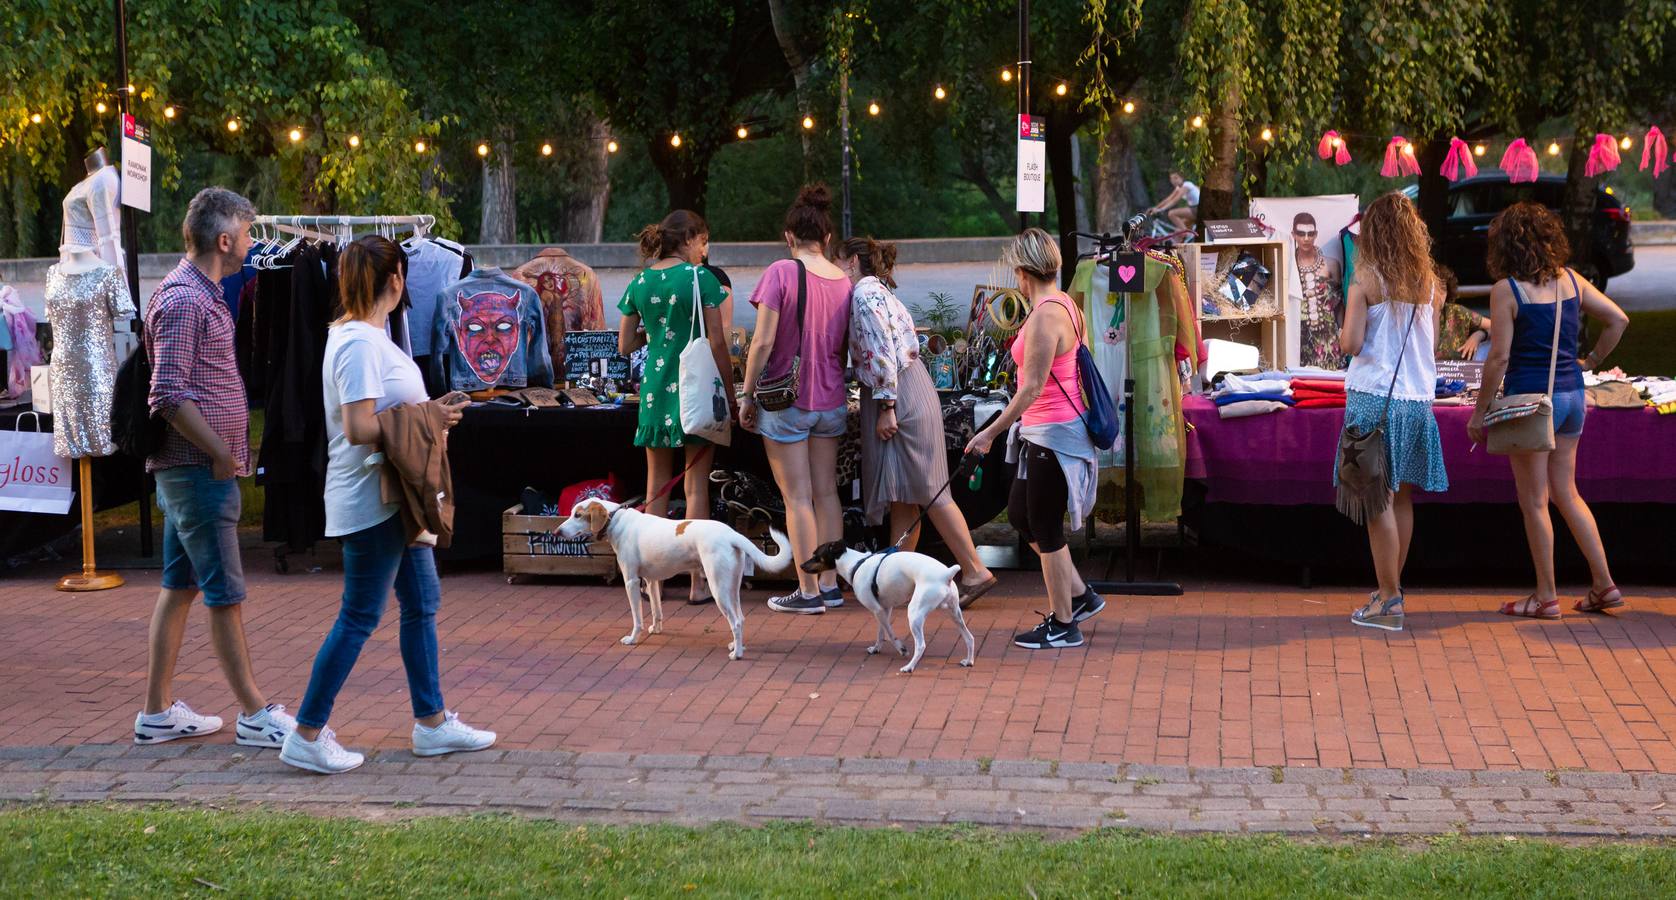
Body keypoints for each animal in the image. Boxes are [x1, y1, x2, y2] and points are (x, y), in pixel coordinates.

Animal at [549, 496, 784, 656]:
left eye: (578, 515)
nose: (556, 532)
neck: (615, 520)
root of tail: (731, 534)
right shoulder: (651, 581)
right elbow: (656, 610)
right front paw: (656, 629)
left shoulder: (631, 582)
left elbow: (637, 618)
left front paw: (633, 639)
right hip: (731, 588)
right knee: (740, 619)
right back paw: (737, 645)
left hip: (718, 589)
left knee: (734, 622)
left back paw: (737, 654)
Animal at [801, 536, 978, 670]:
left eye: (816, 555)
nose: (801, 565)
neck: (856, 565)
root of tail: (946, 574)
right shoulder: (883, 609)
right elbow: (881, 632)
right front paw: (876, 648)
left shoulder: (878, 610)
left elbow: (890, 633)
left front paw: (901, 648)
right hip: (954, 614)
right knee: (969, 637)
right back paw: (968, 661)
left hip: (914, 614)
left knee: (921, 645)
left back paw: (909, 667)